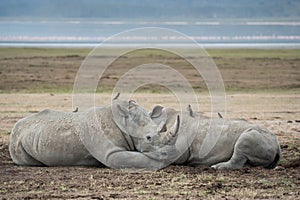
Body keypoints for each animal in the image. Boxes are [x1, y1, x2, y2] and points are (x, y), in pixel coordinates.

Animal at [8, 98, 178, 169]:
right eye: (148, 138)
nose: (170, 153)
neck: (124, 121)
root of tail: (16, 126)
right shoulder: (111, 153)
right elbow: (135, 158)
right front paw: (161, 163)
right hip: (17, 141)